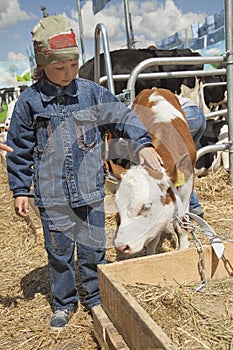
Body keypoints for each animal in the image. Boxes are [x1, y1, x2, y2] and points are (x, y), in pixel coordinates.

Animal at [114, 88, 197, 254]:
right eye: (118, 205)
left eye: (146, 207)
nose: (121, 246)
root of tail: (154, 89)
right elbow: (153, 236)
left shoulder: (188, 181)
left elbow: (182, 224)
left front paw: (183, 249)